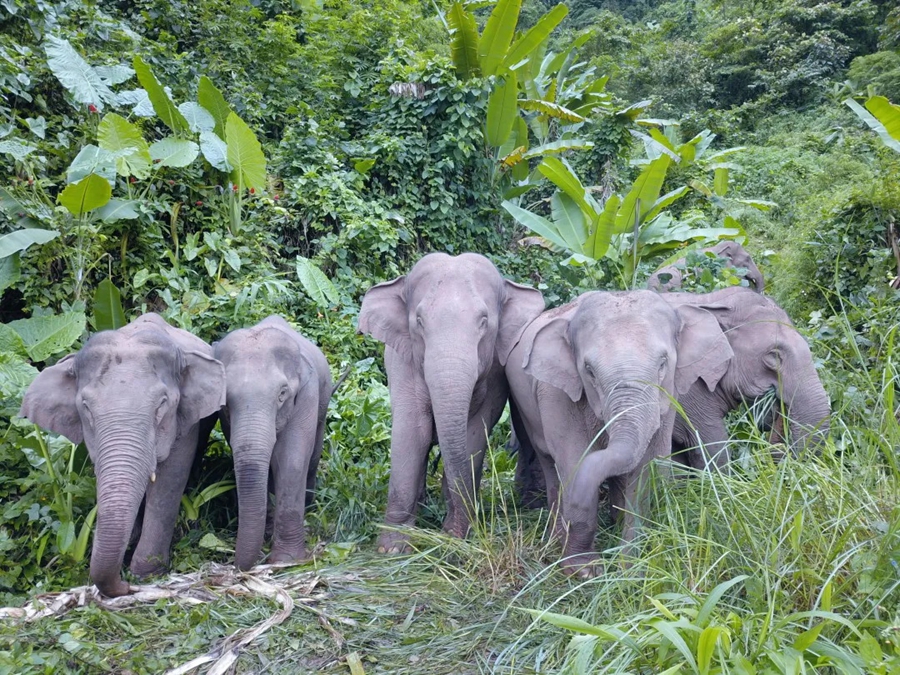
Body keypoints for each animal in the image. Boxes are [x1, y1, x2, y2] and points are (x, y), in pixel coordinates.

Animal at [19, 313, 226, 597]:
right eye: (85, 407)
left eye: (162, 405)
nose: (126, 586)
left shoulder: (186, 421)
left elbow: (170, 479)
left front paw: (146, 574)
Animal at [214, 316, 332, 570]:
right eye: (226, 400)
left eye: (282, 394)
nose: (236, 565)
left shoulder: (307, 395)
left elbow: (292, 460)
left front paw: (286, 560)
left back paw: (308, 507)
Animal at [358, 252, 545, 553]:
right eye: (419, 321)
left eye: (484, 321)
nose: (455, 535)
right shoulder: (402, 360)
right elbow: (413, 431)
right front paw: (392, 548)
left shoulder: (495, 369)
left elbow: (474, 431)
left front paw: (455, 535)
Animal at [506, 290, 733, 575]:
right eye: (589, 370)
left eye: (663, 363)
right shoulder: (556, 394)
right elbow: (574, 461)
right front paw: (584, 571)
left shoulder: (668, 397)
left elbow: (648, 468)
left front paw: (634, 568)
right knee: (550, 465)